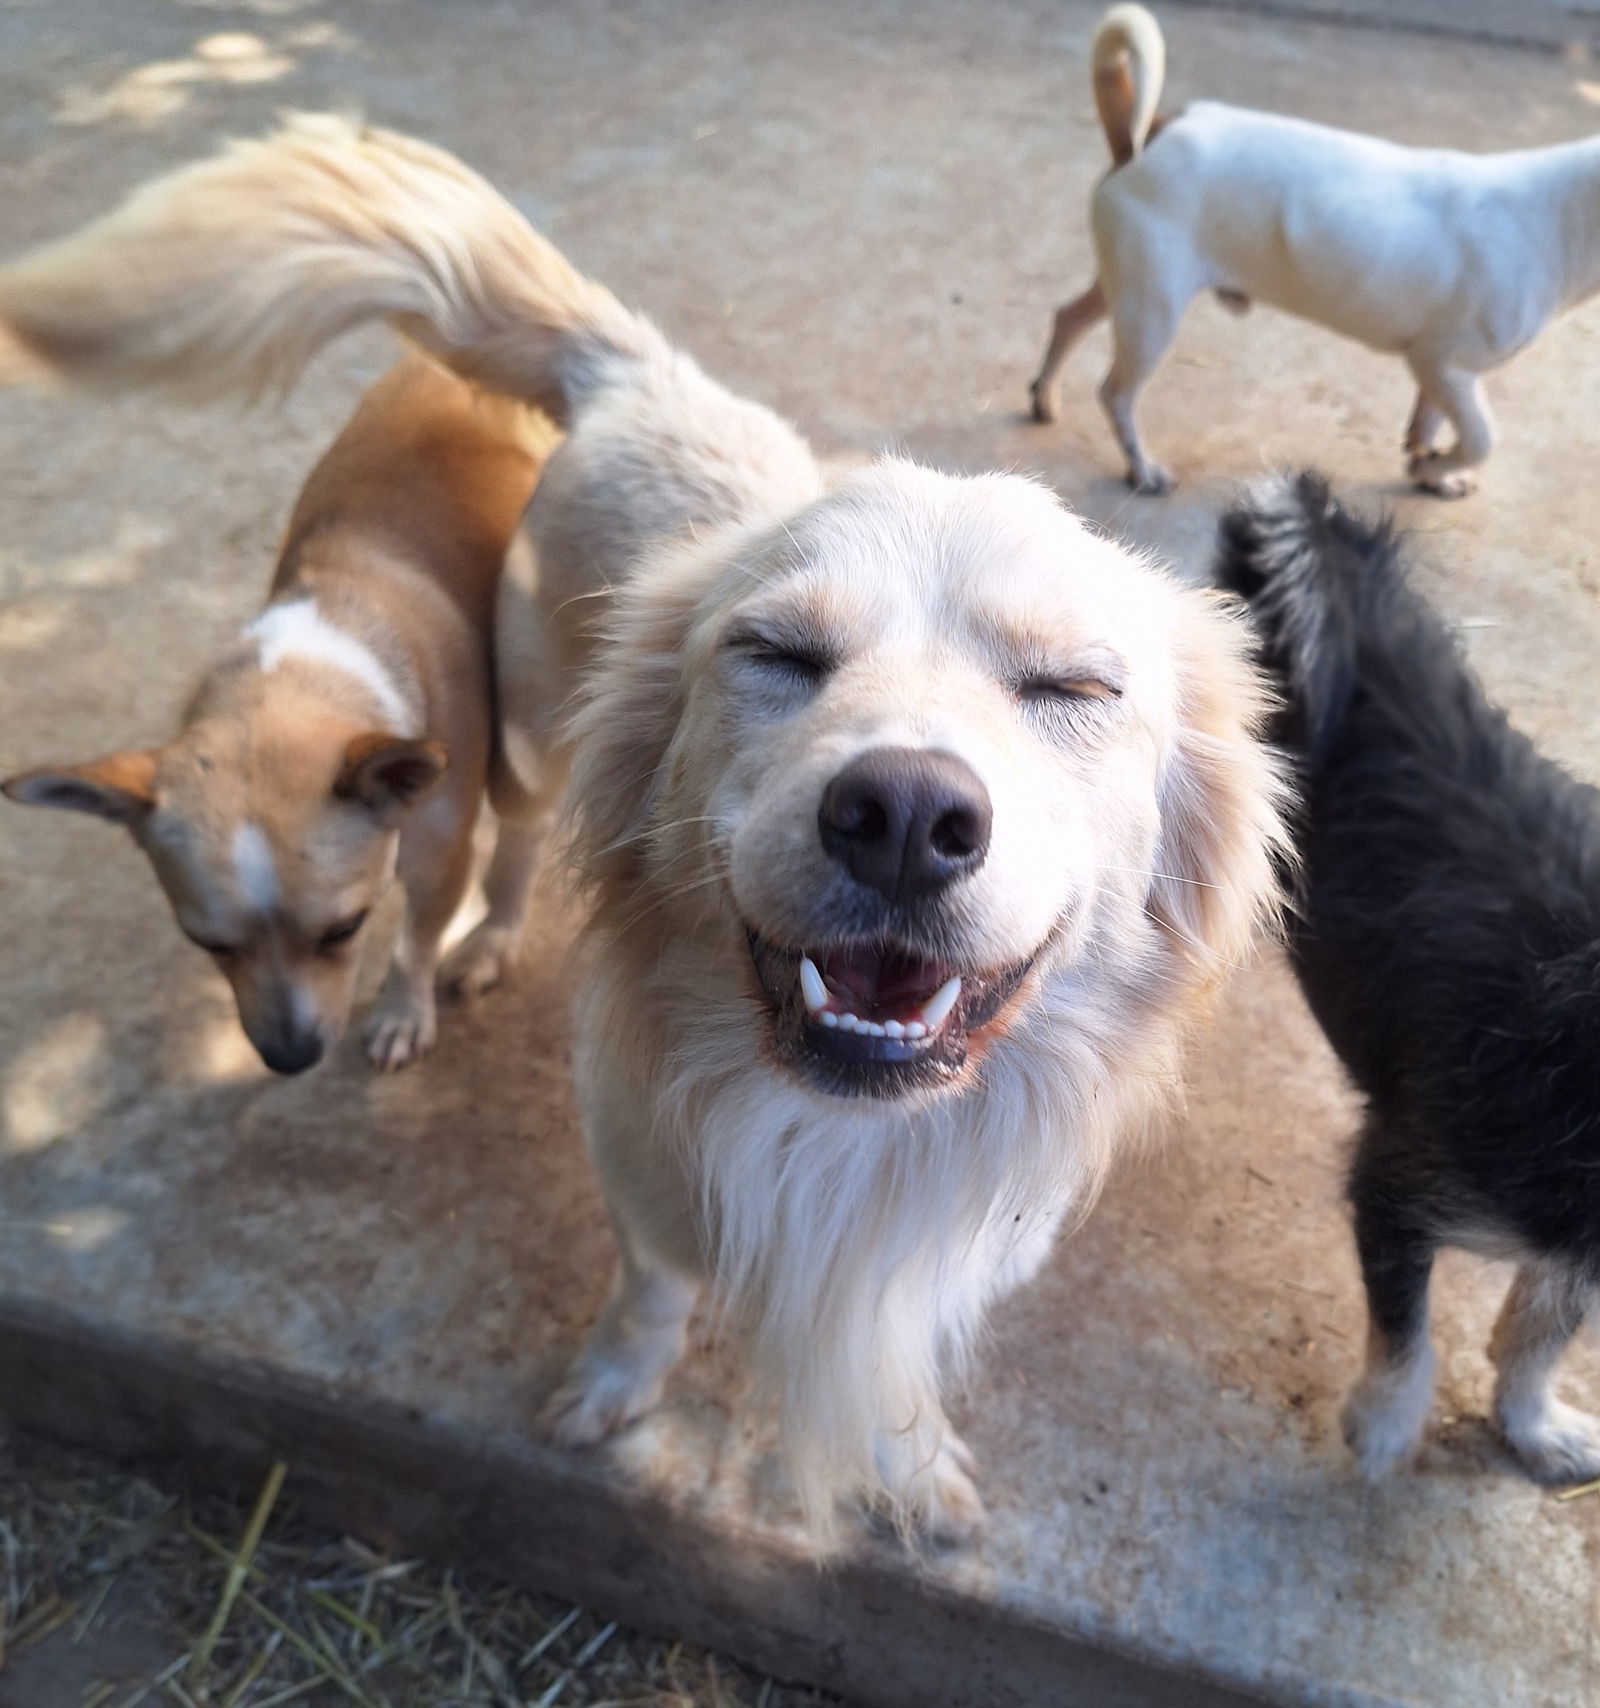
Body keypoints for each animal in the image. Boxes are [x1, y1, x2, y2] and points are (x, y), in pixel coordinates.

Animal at [0, 113, 1284, 1544]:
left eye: (1074, 688)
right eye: (773, 653)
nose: (901, 816)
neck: (832, 1132)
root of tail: (638, 377)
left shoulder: (964, 1247)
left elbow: (896, 1363)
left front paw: (913, 1472)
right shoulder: (641, 1160)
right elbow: (656, 1291)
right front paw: (613, 1391)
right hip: (519, 739)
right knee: (504, 850)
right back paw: (478, 945)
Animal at [1031, 1, 1591, 495]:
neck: (1560, 215)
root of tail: (1151, 130)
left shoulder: (1442, 372)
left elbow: (1430, 422)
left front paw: (1432, 470)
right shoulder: (1442, 364)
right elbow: (1481, 439)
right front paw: (1438, 467)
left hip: (1128, 286)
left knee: (1067, 319)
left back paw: (1043, 398)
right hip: (1152, 314)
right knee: (1116, 393)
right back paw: (1142, 469)